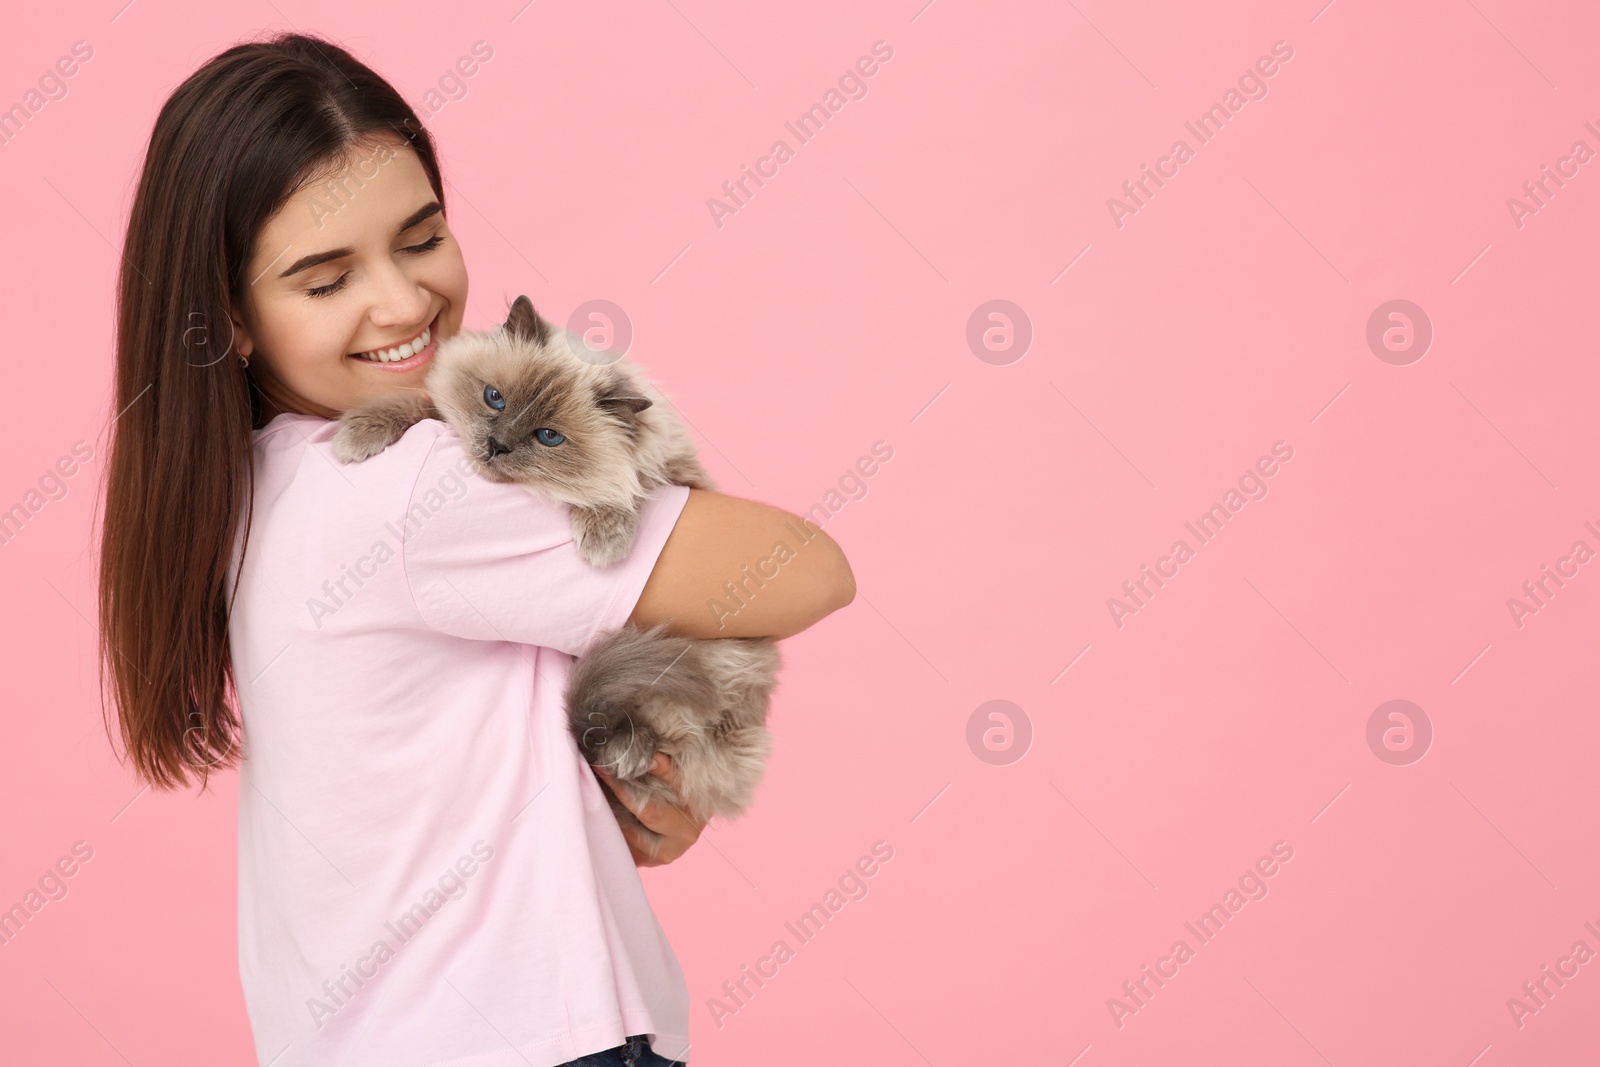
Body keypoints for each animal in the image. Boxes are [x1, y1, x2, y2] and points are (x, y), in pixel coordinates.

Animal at [336, 295, 780, 863]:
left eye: (548, 437)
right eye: (495, 399)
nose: (496, 446)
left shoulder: (677, 479)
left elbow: (628, 487)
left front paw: (603, 536)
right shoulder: (439, 413)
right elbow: (418, 405)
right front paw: (357, 435)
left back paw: (629, 751)